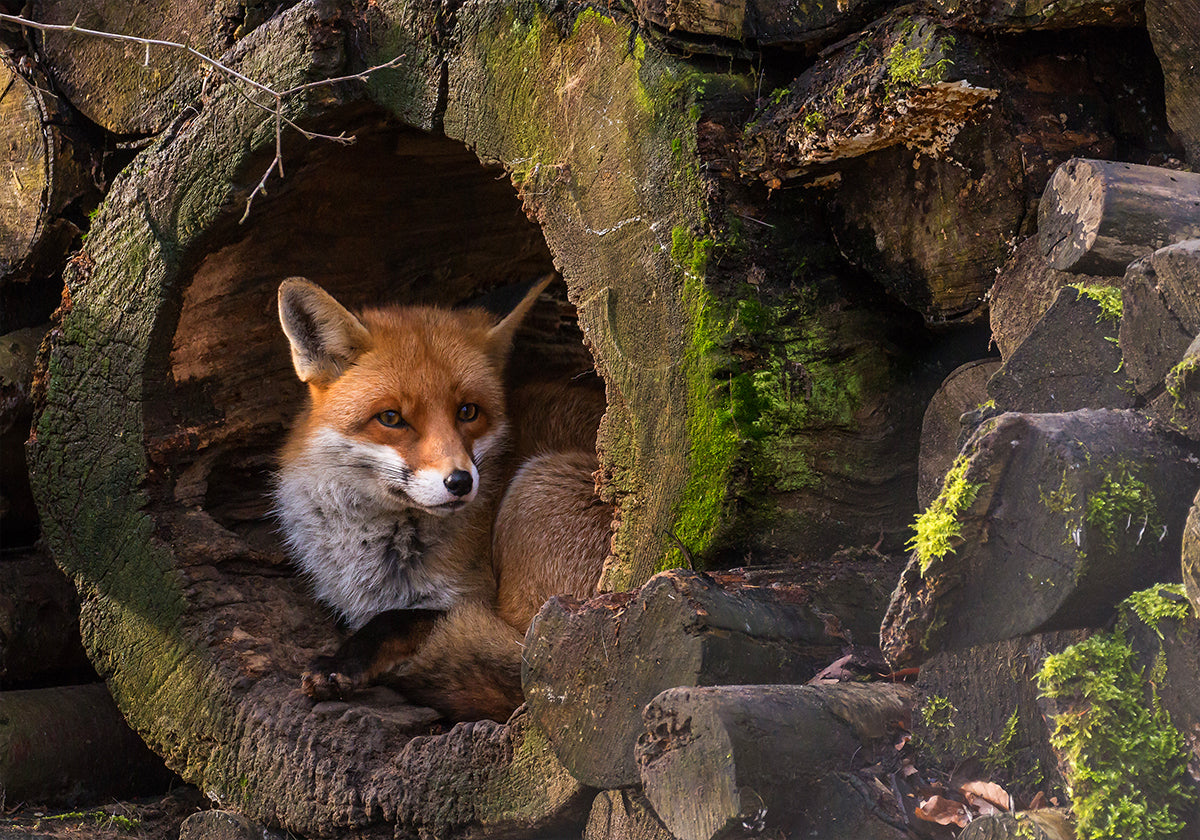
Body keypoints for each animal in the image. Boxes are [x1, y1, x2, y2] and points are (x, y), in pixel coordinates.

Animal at [273, 275, 612, 721]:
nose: (460, 482)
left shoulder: (471, 599)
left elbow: (397, 620)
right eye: (391, 418)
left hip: (537, 498)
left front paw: (343, 662)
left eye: (468, 411)